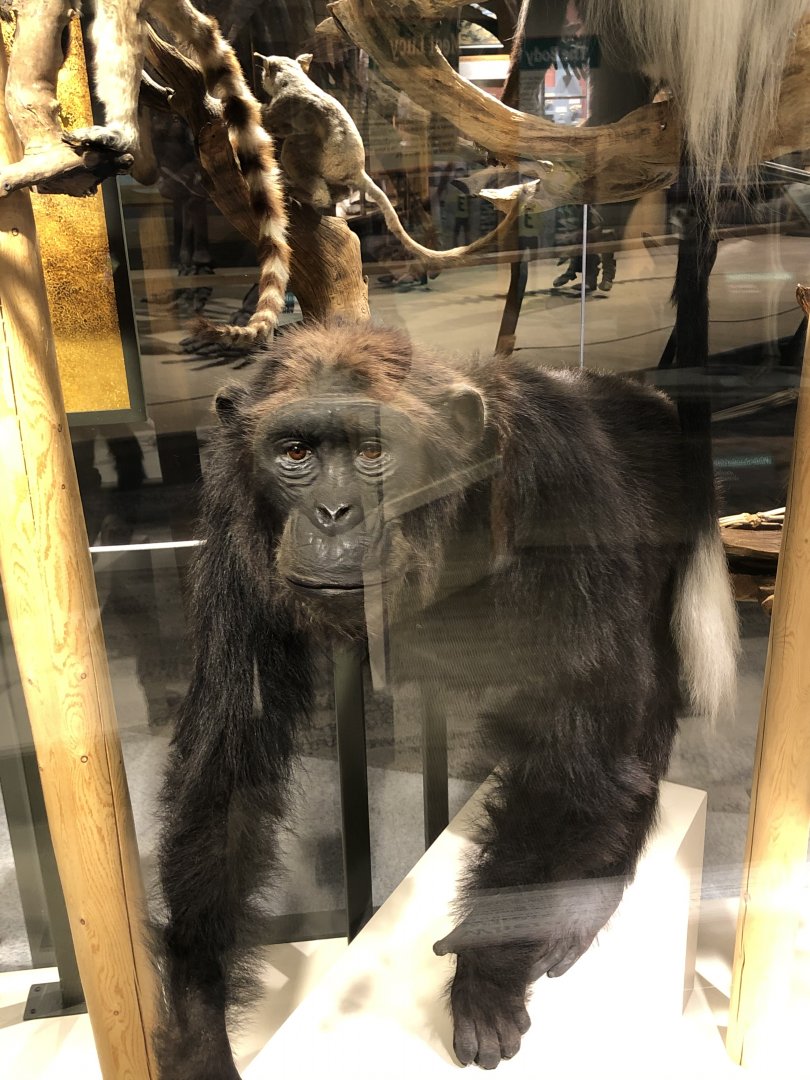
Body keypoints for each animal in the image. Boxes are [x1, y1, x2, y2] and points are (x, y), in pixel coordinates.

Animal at [154, 319, 738, 1076]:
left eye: (373, 451)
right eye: (294, 452)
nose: (333, 513)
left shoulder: (561, 479)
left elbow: (578, 735)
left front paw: (487, 974)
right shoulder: (233, 515)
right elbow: (231, 749)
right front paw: (198, 1017)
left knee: (634, 709)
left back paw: (590, 895)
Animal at [257, 53, 522, 268]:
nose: (261, 79)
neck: (295, 78)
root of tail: (358, 170)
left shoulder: (285, 105)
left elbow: (270, 121)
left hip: (320, 160)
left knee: (296, 151)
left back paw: (300, 194)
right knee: (339, 189)